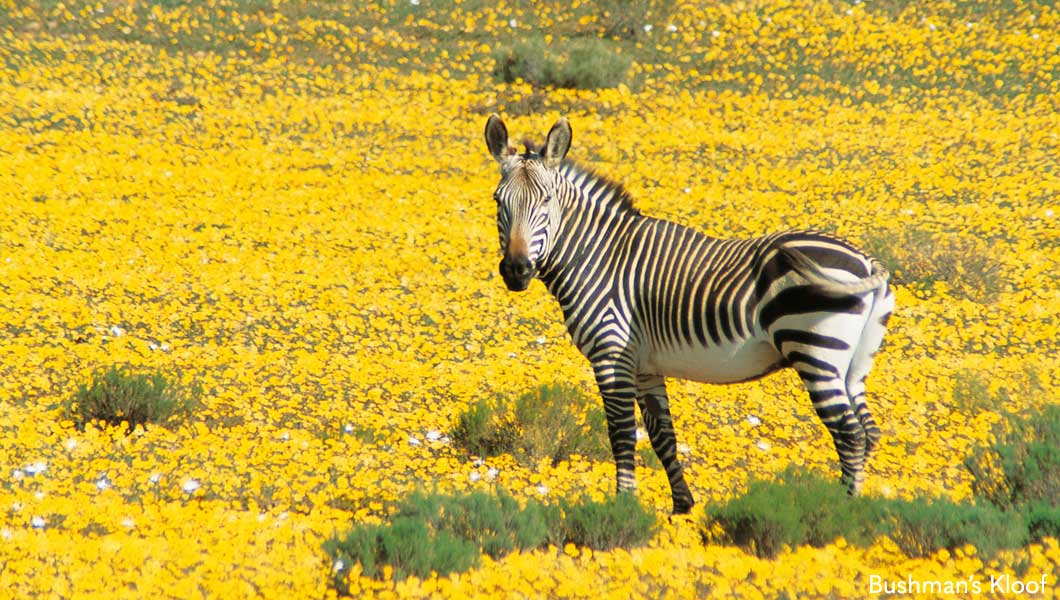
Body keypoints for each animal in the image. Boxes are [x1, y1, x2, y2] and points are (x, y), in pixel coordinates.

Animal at [485, 115, 890, 515]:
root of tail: (867, 261)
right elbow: (662, 435)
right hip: (853, 365)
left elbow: (621, 434)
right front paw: (682, 509)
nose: (516, 270)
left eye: (546, 201)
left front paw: (624, 508)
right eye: (498, 200)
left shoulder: (612, 354)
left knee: (849, 434)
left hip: (816, 350)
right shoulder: (645, 365)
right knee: (868, 432)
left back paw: (842, 510)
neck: (597, 255)